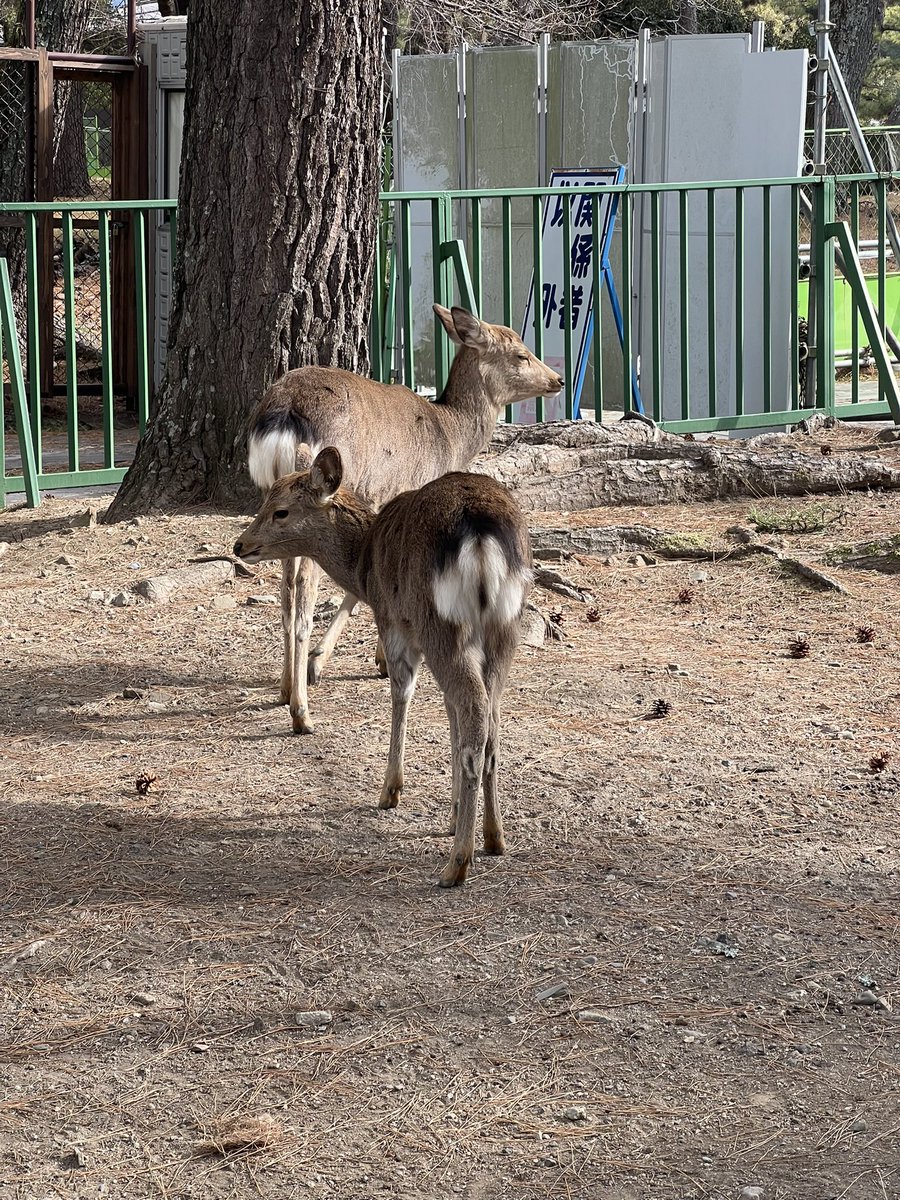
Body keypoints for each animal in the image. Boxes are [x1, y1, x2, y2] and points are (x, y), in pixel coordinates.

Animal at [234, 449, 532, 887]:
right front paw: (454, 815)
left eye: (281, 511)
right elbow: (449, 714)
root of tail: (481, 536)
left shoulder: (394, 621)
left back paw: (456, 863)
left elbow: (401, 692)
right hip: (505, 629)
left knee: (475, 711)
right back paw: (494, 837)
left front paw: (391, 791)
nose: (240, 544)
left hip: (440, 622)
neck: (364, 562)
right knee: (490, 718)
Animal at [246, 304, 562, 735]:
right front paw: (353, 660)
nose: (557, 380)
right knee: (303, 594)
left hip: (277, 502)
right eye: (521, 354)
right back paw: (302, 712)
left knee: (283, 590)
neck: (451, 435)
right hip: (315, 493)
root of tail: (282, 414)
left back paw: (283, 688)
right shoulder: (402, 492)